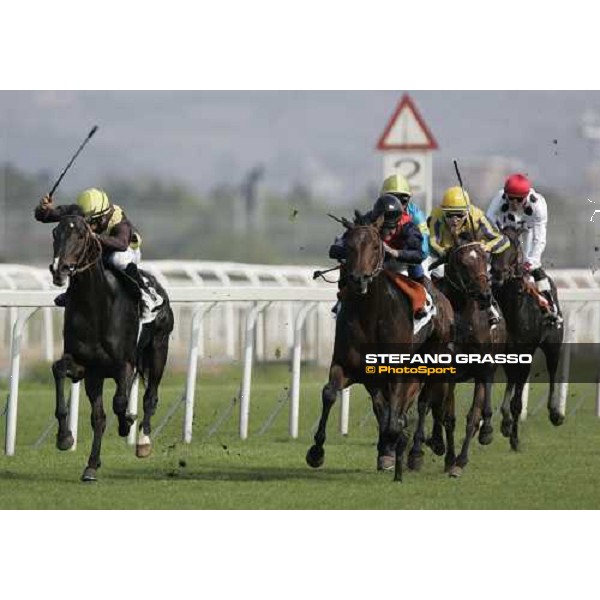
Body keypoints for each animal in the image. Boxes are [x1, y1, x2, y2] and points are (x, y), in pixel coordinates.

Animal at [49, 213, 173, 480]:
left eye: (81, 235)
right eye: (55, 233)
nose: (59, 269)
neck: (95, 308)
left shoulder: (123, 364)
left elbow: (120, 402)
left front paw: (127, 424)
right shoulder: (86, 367)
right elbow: (59, 371)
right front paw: (65, 439)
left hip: (159, 348)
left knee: (150, 396)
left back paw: (143, 441)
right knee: (100, 417)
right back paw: (91, 465)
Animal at [308, 216, 452, 482]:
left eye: (376, 247)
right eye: (348, 246)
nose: (359, 279)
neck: (370, 317)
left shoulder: (397, 372)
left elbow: (396, 418)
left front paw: (396, 447)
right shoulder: (347, 365)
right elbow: (330, 394)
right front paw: (316, 452)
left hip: (433, 359)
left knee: (423, 401)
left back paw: (418, 451)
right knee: (385, 406)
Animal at [490, 226, 564, 450]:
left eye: (514, 245)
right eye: (493, 247)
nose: (497, 272)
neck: (514, 309)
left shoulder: (525, 355)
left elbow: (518, 402)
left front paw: (515, 439)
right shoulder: (503, 352)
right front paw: (505, 425)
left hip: (553, 345)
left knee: (552, 372)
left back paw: (555, 413)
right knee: (511, 379)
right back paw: (505, 421)